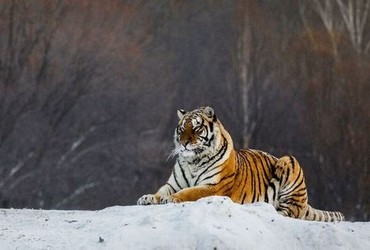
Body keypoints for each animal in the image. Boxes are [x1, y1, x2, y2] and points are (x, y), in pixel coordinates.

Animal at [137, 106, 346, 222]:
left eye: (196, 128)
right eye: (182, 129)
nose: (184, 143)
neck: (193, 160)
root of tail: (306, 202)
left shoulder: (213, 187)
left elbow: (189, 192)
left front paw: (171, 199)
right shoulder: (174, 183)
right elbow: (161, 191)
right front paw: (147, 198)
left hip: (289, 161)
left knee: (292, 212)